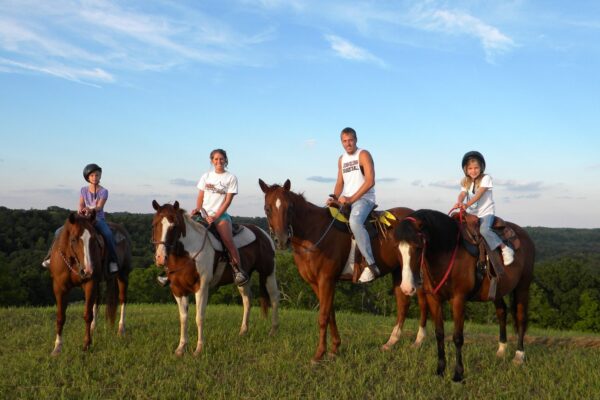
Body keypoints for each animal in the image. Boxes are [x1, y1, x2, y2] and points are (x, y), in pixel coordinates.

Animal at [47, 212, 132, 356]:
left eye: (94, 240)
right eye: (73, 239)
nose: (88, 270)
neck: (73, 261)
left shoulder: (90, 283)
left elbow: (87, 315)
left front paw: (86, 344)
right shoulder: (59, 287)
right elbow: (60, 317)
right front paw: (57, 347)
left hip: (122, 275)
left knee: (122, 300)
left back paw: (121, 329)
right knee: (97, 301)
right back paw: (93, 328)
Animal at [151, 200, 280, 356]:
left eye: (174, 226)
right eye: (154, 224)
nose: (160, 258)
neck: (187, 254)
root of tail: (263, 233)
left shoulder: (201, 287)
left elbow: (199, 317)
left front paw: (198, 349)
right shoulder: (178, 290)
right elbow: (183, 318)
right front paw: (181, 348)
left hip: (268, 272)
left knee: (274, 298)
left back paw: (273, 331)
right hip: (244, 279)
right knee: (247, 300)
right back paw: (243, 331)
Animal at [258, 179, 426, 362]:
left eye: (289, 207)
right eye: (267, 208)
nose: (281, 239)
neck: (314, 232)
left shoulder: (326, 279)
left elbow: (323, 316)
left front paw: (319, 354)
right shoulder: (316, 283)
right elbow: (330, 313)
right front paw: (334, 348)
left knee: (423, 301)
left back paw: (418, 341)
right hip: (399, 271)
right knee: (403, 302)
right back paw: (391, 342)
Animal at [398, 209, 536, 382]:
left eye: (417, 247)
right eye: (398, 248)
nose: (406, 288)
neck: (449, 251)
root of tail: (525, 236)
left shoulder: (458, 300)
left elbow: (457, 337)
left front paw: (458, 373)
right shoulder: (434, 299)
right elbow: (439, 334)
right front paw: (440, 370)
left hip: (523, 287)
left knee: (521, 318)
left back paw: (519, 356)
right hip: (497, 291)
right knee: (502, 312)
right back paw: (501, 350)